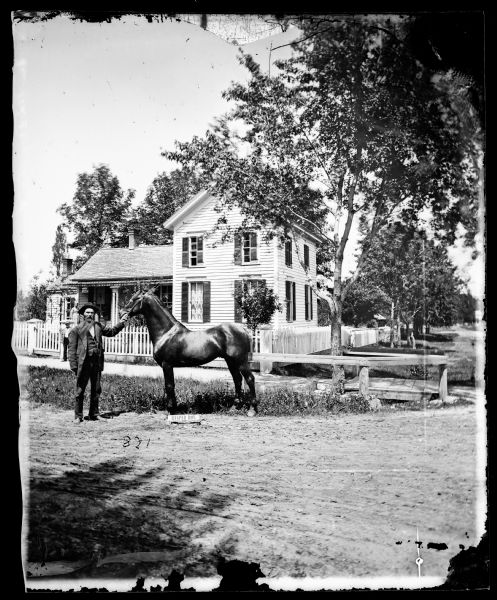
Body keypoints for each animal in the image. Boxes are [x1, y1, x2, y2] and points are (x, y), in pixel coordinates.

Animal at [122, 290, 258, 418]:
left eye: (134, 299)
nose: (122, 312)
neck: (166, 333)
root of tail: (243, 330)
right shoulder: (168, 366)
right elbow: (170, 385)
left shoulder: (167, 364)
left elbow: (169, 385)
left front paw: (171, 410)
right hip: (230, 361)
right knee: (237, 380)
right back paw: (235, 407)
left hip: (240, 361)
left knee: (249, 379)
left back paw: (252, 410)